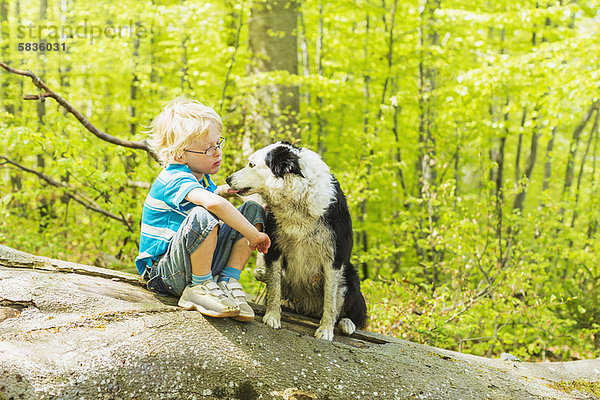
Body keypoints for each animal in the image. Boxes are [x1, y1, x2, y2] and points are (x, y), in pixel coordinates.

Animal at [225, 142, 366, 340]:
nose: (228, 179)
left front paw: (325, 330)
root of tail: (309, 309)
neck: (297, 199)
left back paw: (347, 323)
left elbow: (330, 301)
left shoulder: (334, 257)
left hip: (350, 277)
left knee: (351, 312)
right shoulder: (274, 248)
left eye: (251, 164)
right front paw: (272, 316)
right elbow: (274, 286)